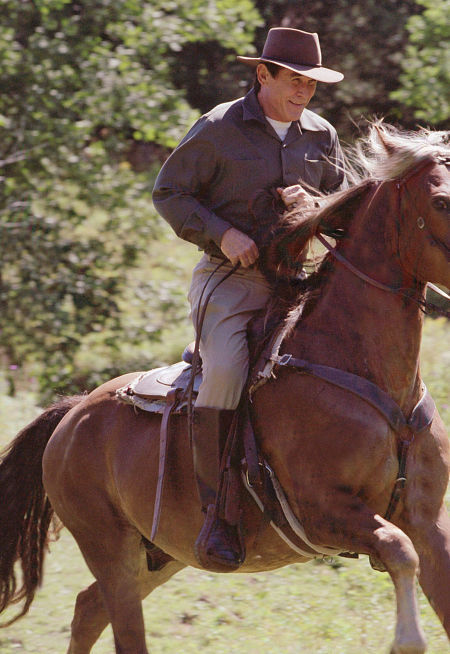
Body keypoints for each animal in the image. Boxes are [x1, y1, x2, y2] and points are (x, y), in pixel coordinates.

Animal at [2, 124, 450, 654]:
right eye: (441, 201)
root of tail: (70, 418)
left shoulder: (427, 521)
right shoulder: (327, 512)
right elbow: (399, 553)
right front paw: (407, 636)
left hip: (164, 552)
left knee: (87, 609)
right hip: (111, 552)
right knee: (118, 621)